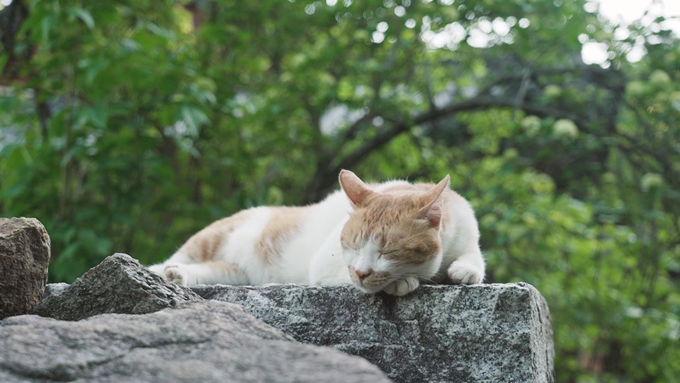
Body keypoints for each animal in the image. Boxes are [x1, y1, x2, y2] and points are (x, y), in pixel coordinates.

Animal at [149, 170, 484, 296]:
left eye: (387, 251)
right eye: (352, 246)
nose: (362, 272)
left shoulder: (467, 230)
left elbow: (475, 257)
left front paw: (464, 270)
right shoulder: (325, 269)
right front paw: (404, 282)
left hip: (238, 275)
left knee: (208, 270)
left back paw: (178, 275)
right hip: (208, 240)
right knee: (169, 260)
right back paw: (162, 271)